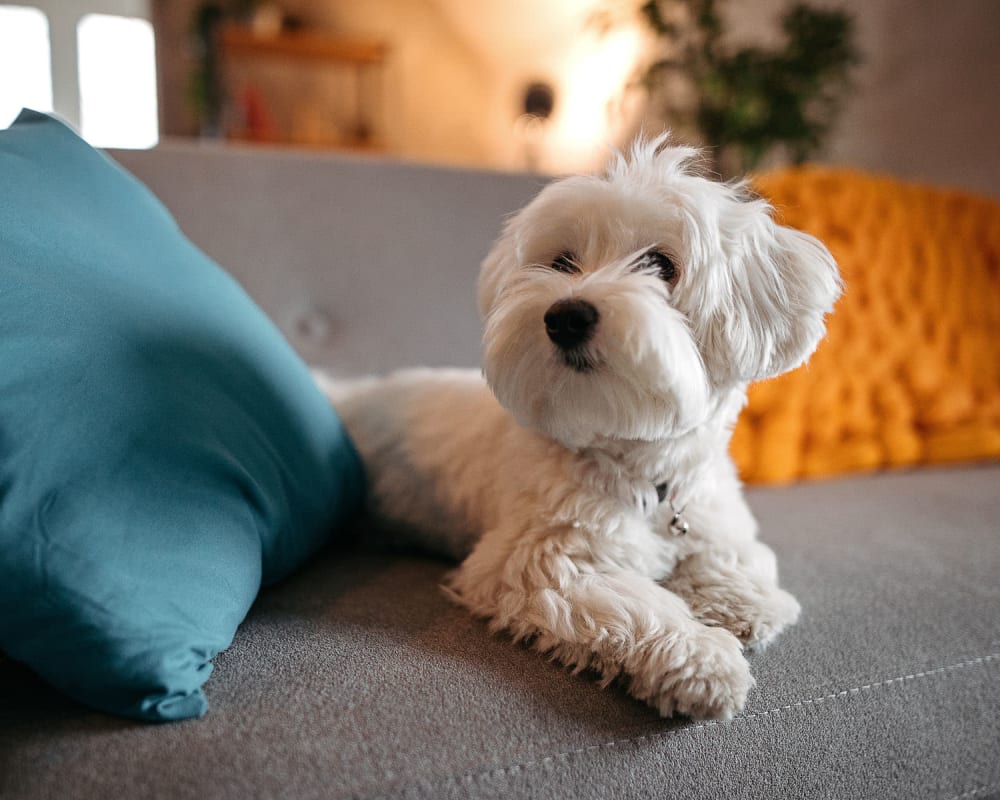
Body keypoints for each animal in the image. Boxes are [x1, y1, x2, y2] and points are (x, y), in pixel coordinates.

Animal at [322, 141, 844, 720]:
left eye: (661, 265)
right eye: (562, 263)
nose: (566, 315)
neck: (642, 472)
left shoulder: (711, 511)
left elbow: (732, 554)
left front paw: (741, 598)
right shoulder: (538, 564)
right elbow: (639, 608)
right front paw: (702, 659)